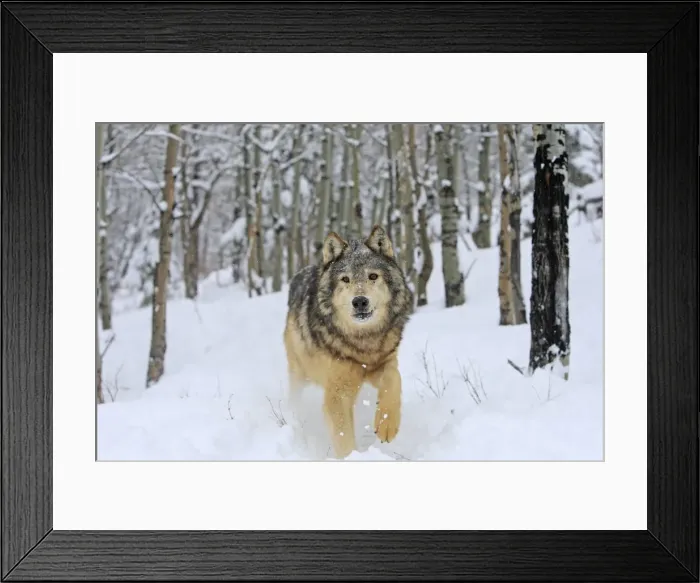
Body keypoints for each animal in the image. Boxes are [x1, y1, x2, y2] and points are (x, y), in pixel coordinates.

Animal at [283, 225, 414, 459]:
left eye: (373, 276)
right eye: (345, 279)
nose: (360, 301)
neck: (363, 343)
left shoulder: (384, 364)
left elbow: (394, 381)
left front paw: (386, 425)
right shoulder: (338, 394)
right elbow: (343, 437)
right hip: (299, 373)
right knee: (294, 398)